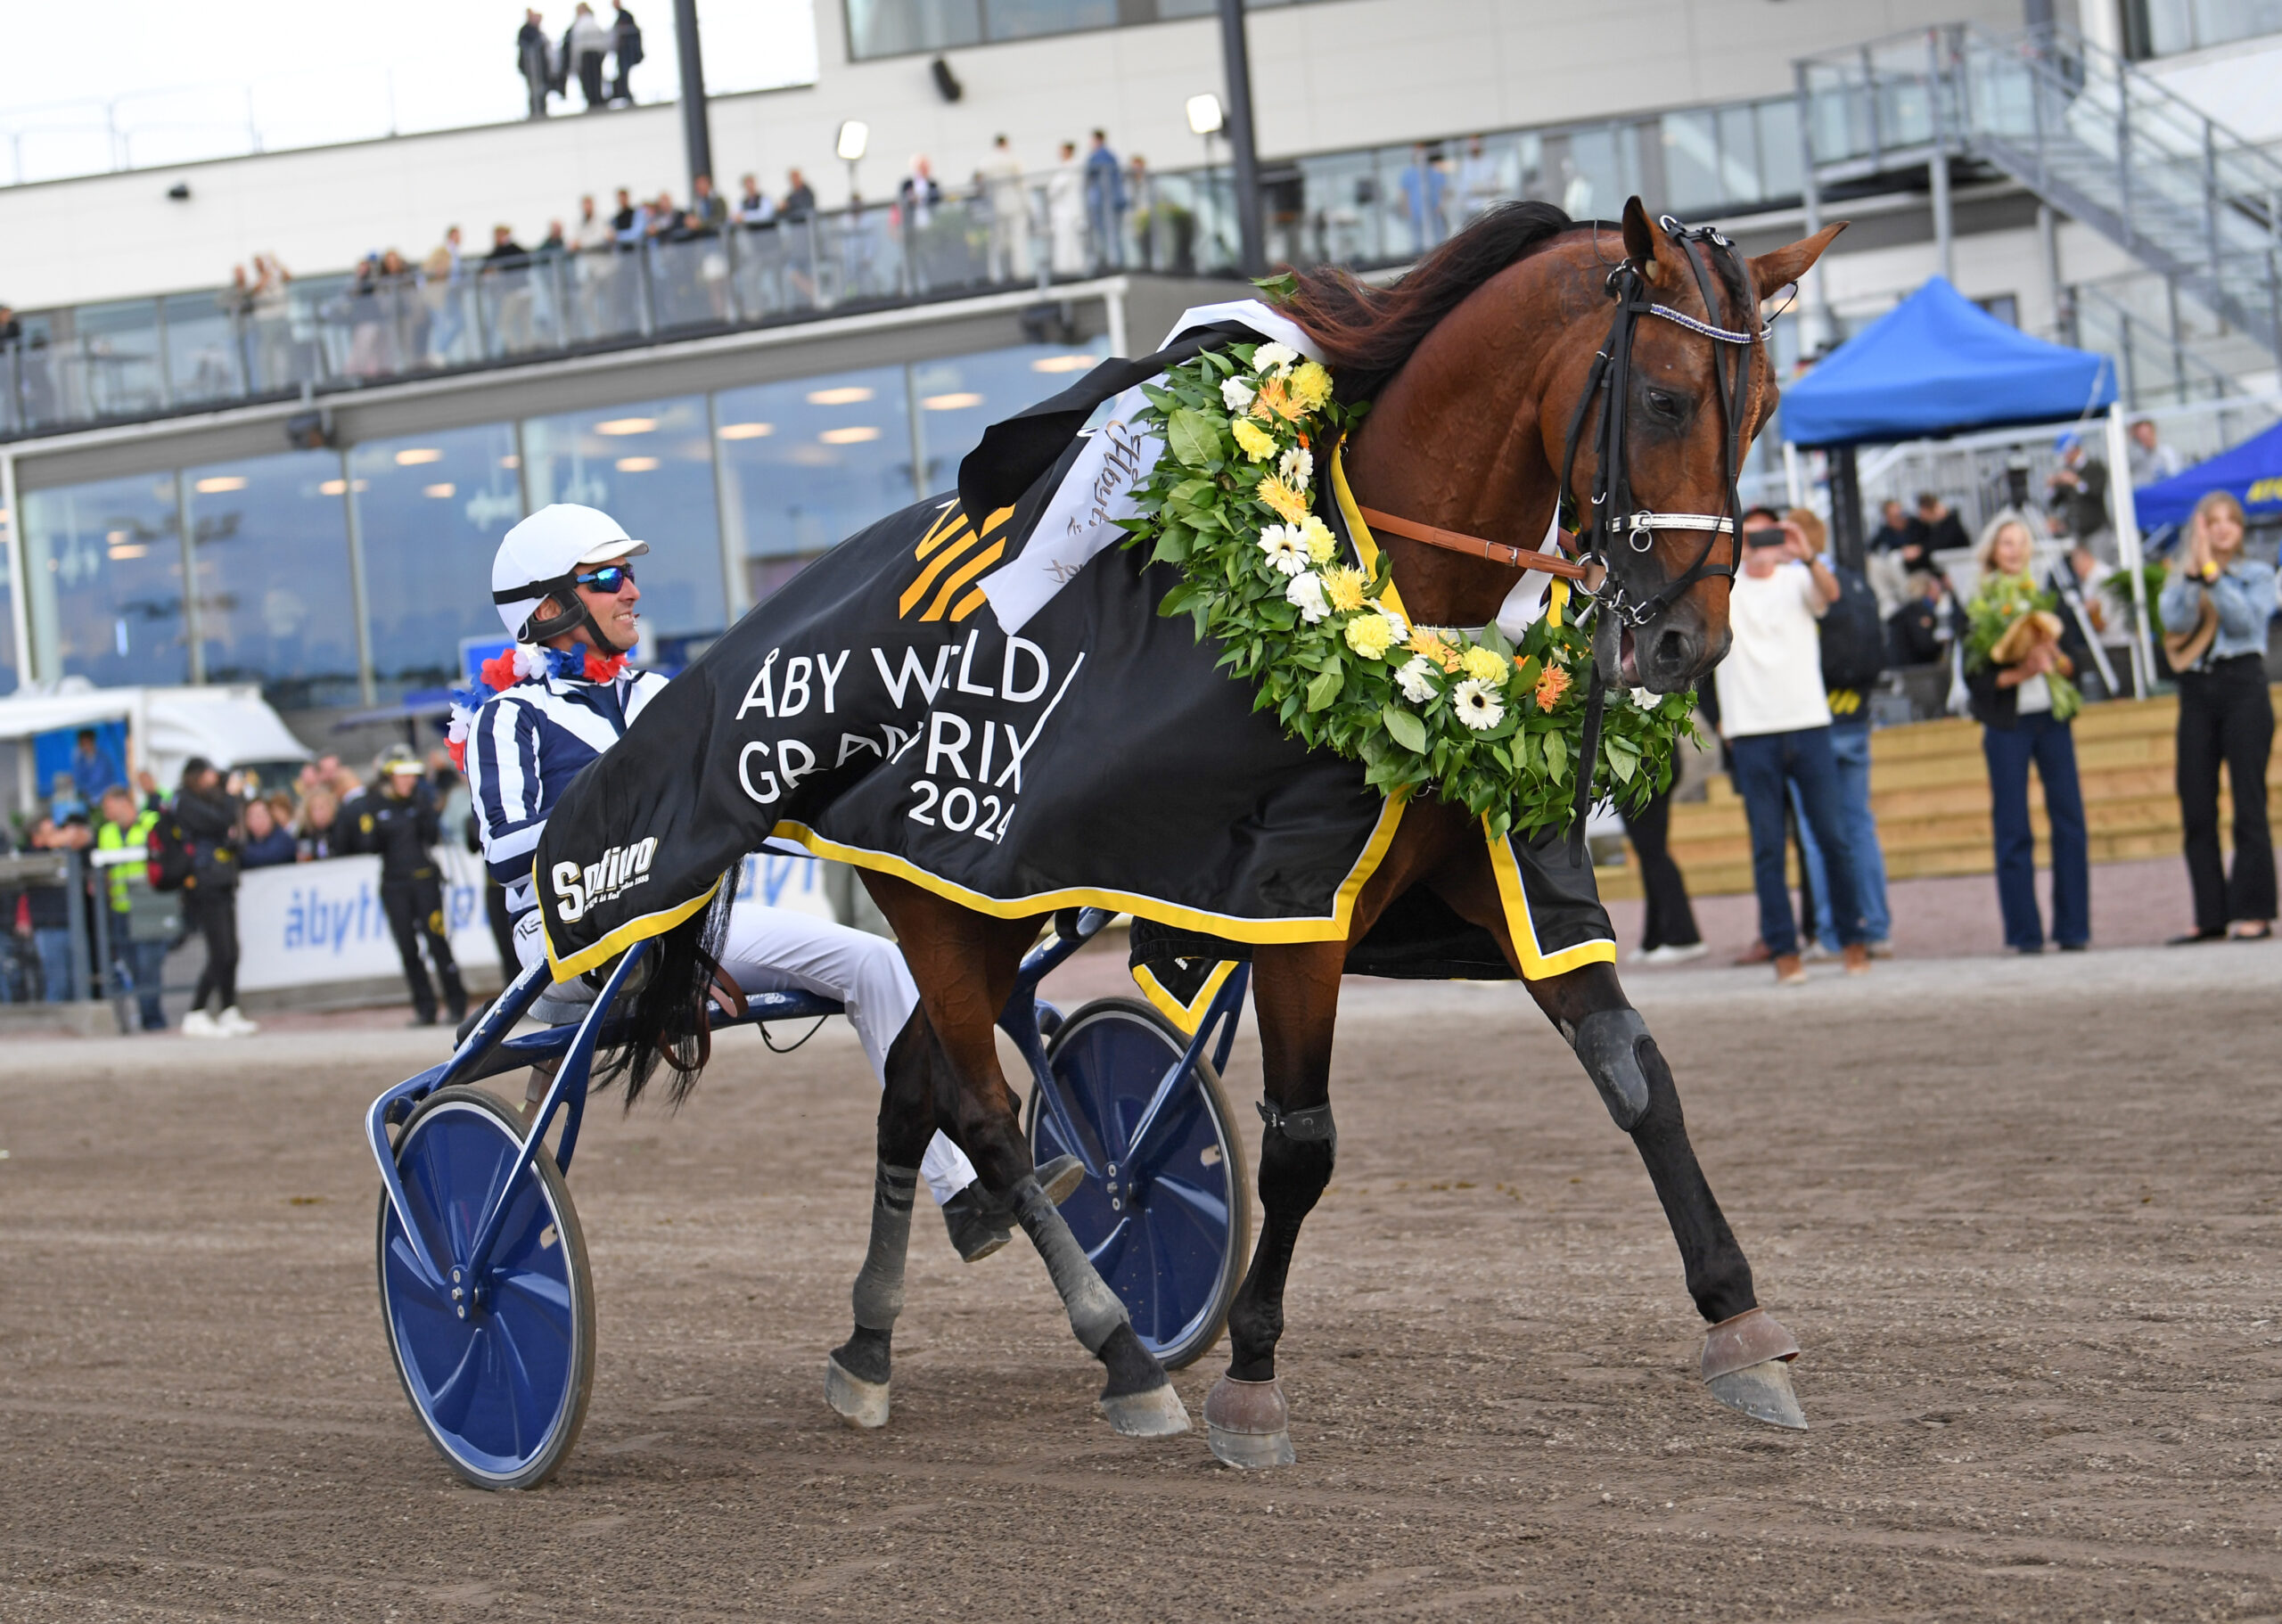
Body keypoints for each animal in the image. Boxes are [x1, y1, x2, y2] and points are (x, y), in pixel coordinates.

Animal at [830, 196, 1843, 1468]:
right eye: (1662, 398)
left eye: (1761, 410)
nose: (1684, 645)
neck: (1409, 583)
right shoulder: (1291, 912)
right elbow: (1300, 1143)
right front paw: (1251, 1377)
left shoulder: (1504, 877)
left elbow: (1635, 1073)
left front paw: (1740, 1322)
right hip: (943, 888)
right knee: (983, 1108)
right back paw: (1121, 1348)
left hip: (1000, 905)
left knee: (915, 1082)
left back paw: (871, 1347)